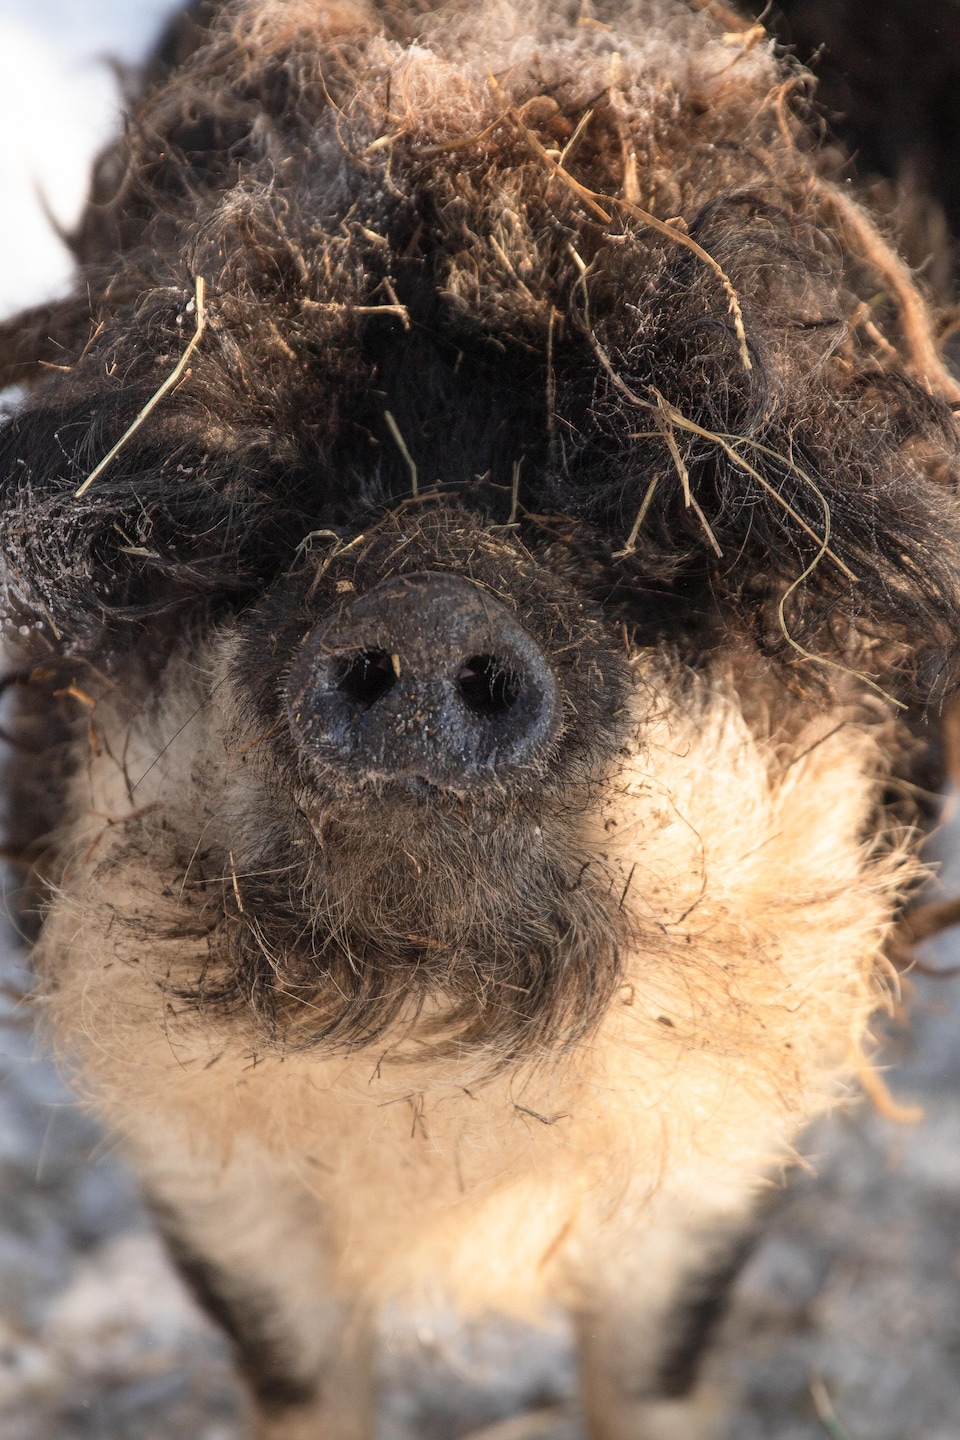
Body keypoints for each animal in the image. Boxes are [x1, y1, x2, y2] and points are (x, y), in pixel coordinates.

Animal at [2, 1, 960, 1436]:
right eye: (279, 494)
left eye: (641, 511)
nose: (433, 603)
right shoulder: (195, 1157)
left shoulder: (736, 1124)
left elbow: (653, 1367)